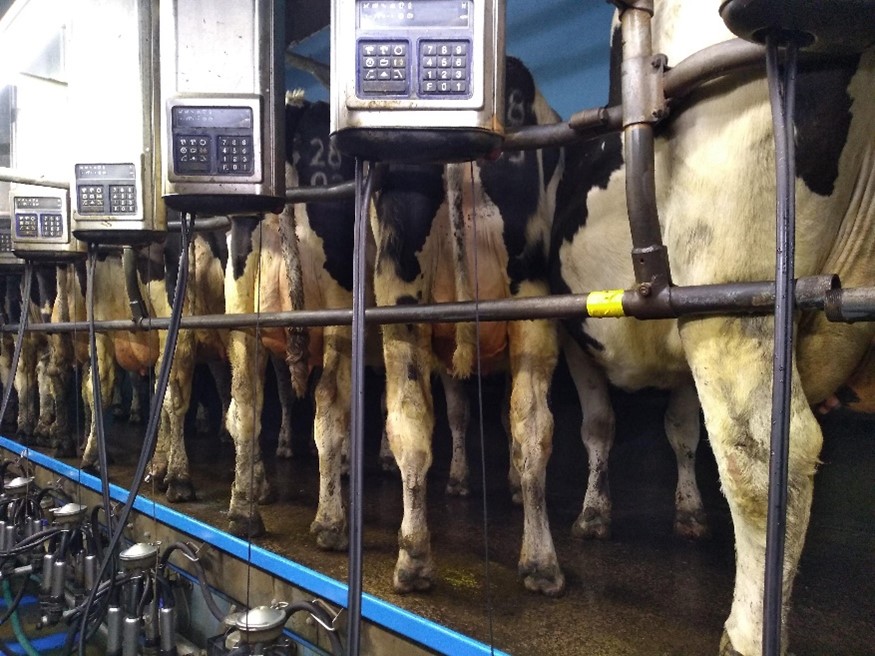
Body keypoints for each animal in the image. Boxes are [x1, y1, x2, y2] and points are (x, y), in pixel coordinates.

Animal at [556, 2, 875, 652]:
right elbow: (680, 433)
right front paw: (687, 510)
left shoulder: (583, 337)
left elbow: (598, 428)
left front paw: (592, 515)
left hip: (730, 289)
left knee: (765, 454)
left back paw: (748, 632)